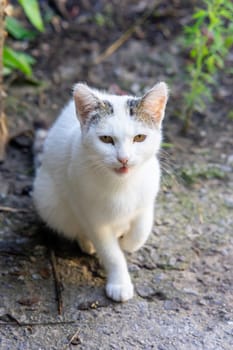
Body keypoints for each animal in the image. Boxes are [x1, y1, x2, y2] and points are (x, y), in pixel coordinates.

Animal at [32, 82, 168, 300]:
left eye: (139, 138)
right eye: (106, 139)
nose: (124, 159)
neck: (122, 185)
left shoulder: (148, 192)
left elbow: (142, 227)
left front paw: (129, 243)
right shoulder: (91, 216)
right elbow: (110, 253)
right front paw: (119, 283)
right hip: (48, 199)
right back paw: (86, 243)